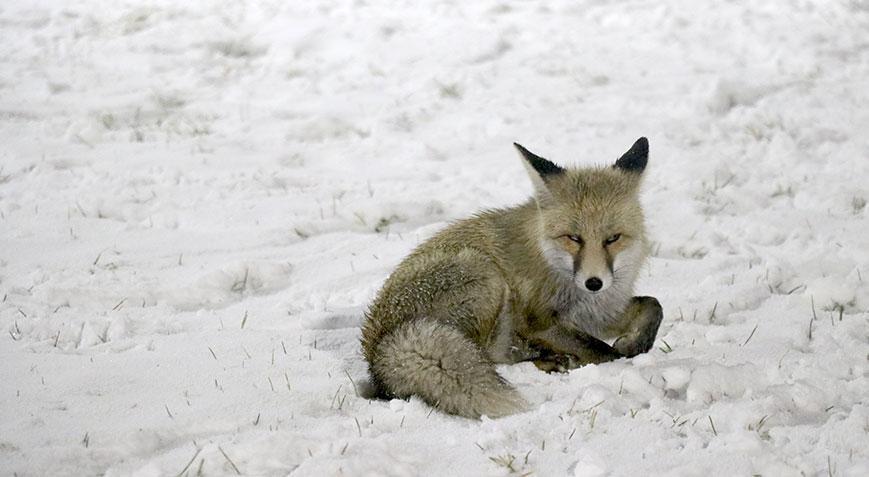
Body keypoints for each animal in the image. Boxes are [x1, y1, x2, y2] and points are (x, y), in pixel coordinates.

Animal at [360, 137, 664, 416]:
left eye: (612, 238)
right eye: (573, 238)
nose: (594, 283)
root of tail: (377, 352)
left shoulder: (599, 313)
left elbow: (653, 305)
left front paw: (635, 341)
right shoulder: (540, 323)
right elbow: (604, 351)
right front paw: (617, 355)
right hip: (487, 277)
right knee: (491, 355)